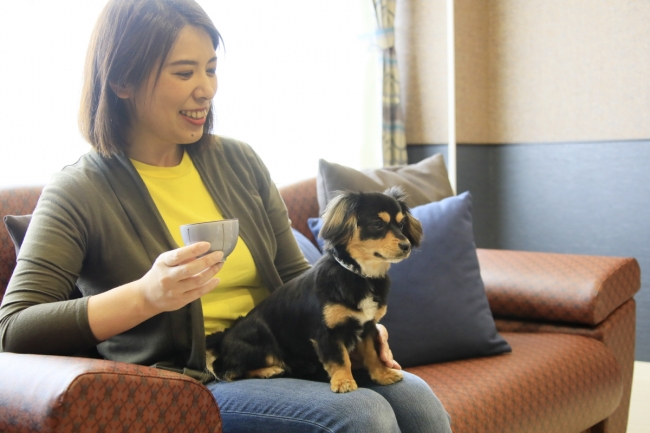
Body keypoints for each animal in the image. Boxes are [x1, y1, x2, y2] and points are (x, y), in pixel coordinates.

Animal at [205, 186, 422, 392]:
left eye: (401, 225)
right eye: (377, 224)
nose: (406, 246)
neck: (360, 275)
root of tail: (224, 337)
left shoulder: (367, 327)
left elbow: (373, 354)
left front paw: (382, 374)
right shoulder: (326, 333)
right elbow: (339, 359)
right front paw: (344, 382)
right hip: (260, 340)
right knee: (228, 371)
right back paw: (268, 370)